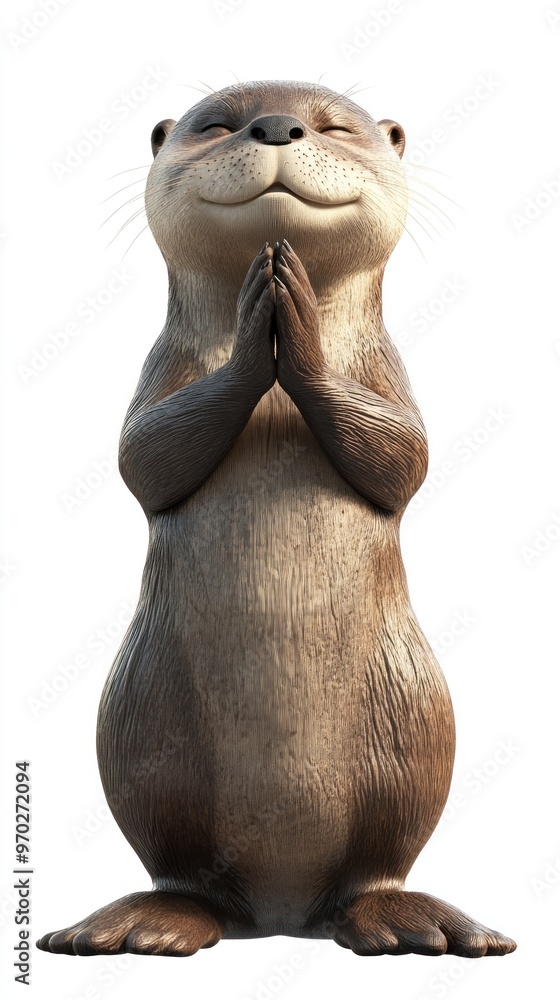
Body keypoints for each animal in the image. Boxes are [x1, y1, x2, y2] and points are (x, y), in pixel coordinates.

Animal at [37, 80, 515, 958]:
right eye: (216, 125)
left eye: (336, 127)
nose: (277, 125)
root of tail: (280, 911)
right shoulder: (158, 372)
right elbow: (142, 457)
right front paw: (262, 322)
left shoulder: (389, 373)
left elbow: (406, 457)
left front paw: (292, 323)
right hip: (142, 730)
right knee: (179, 865)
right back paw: (138, 927)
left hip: (413, 733)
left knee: (377, 865)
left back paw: (420, 925)